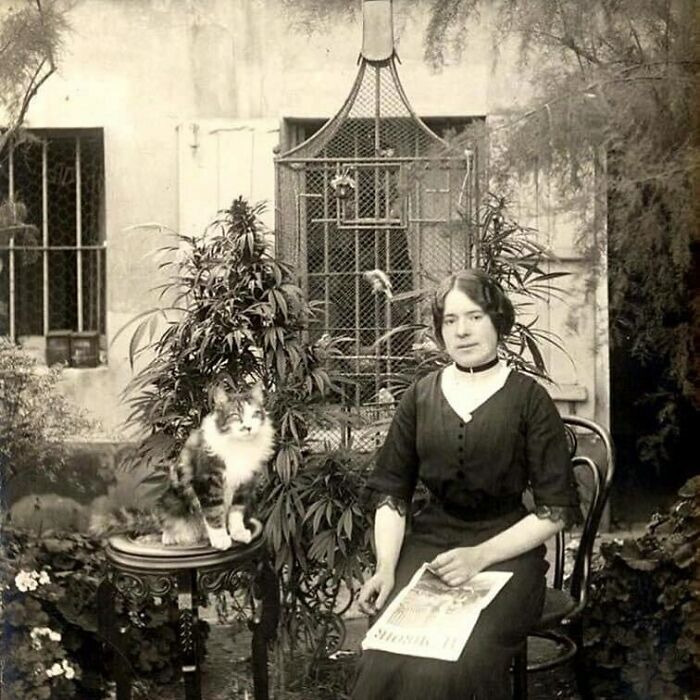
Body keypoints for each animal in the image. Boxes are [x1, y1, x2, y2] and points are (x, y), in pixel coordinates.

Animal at [92, 380, 276, 548]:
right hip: (170, 501)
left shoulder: (244, 484)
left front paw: (238, 533)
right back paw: (171, 536)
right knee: (167, 525)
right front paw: (221, 539)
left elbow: (236, 512)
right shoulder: (206, 480)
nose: (248, 427)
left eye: (255, 414)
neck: (240, 446)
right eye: (235, 415)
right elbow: (214, 513)